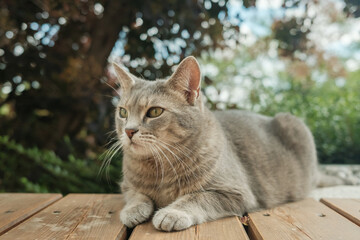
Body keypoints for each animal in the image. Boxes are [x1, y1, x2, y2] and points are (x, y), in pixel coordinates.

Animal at [112, 57, 330, 232]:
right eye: (123, 112)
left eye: (155, 112)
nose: (128, 131)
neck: (159, 167)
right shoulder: (126, 186)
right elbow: (136, 195)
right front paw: (133, 210)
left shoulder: (235, 193)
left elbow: (196, 197)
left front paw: (171, 213)